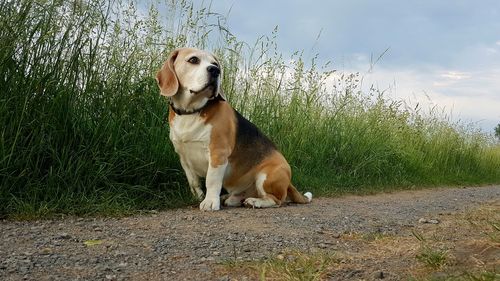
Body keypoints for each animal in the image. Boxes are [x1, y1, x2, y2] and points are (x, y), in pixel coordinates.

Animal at [156, 47, 312, 210]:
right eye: (193, 60)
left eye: (215, 63)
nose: (215, 71)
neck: (192, 111)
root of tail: (289, 180)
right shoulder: (184, 157)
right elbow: (194, 182)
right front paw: (198, 197)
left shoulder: (218, 153)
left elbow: (212, 180)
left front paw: (210, 201)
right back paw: (231, 198)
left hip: (266, 176)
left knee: (277, 200)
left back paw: (255, 201)